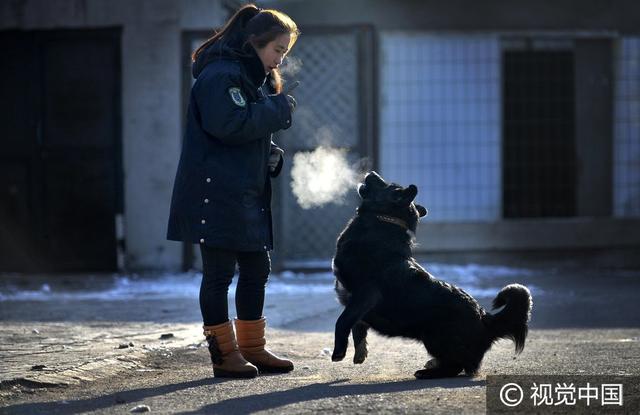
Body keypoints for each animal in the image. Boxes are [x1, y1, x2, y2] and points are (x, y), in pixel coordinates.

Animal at [330, 171, 528, 378]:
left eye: (388, 185)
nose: (372, 173)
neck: (383, 220)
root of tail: (485, 319)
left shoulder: (365, 295)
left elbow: (342, 322)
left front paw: (338, 352)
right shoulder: (357, 303)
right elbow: (357, 327)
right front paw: (360, 352)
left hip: (434, 336)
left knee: (455, 367)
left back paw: (428, 373)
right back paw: (432, 365)